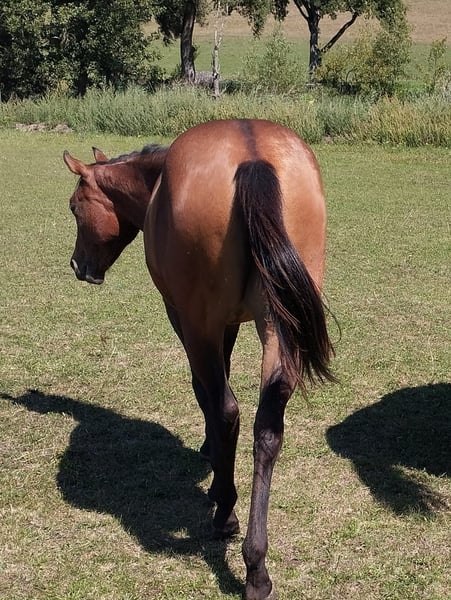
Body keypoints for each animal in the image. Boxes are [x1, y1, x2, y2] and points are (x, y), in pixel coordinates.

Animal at [63, 118, 335, 600]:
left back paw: (225, 512)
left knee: (227, 410)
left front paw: (211, 454)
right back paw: (256, 566)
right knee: (267, 429)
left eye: (76, 207)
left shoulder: (186, 319)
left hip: (200, 323)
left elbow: (205, 390)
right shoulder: (229, 324)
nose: (79, 266)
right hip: (278, 328)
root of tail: (253, 156)